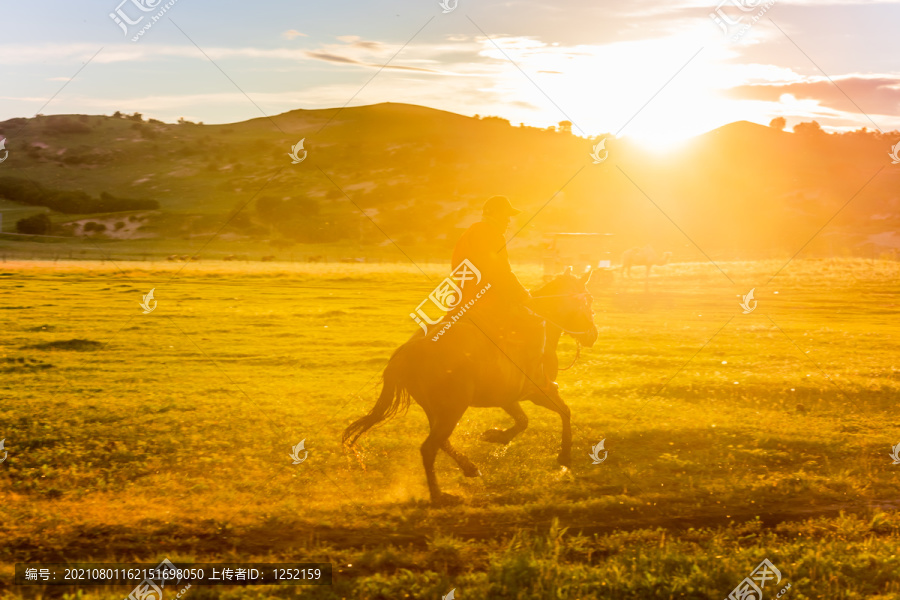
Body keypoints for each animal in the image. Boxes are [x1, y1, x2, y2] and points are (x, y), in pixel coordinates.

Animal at [340, 268, 596, 502]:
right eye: (588, 300)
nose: (593, 335)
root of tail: (410, 350)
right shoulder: (538, 392)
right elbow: (563, 411)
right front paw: (564, 456)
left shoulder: (507, 397)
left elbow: (524, 420)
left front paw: (496, 436)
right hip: (453, 408)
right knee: (429, 447)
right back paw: (439, 496)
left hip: (437, 409)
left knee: (441, 441)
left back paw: (468, 468)